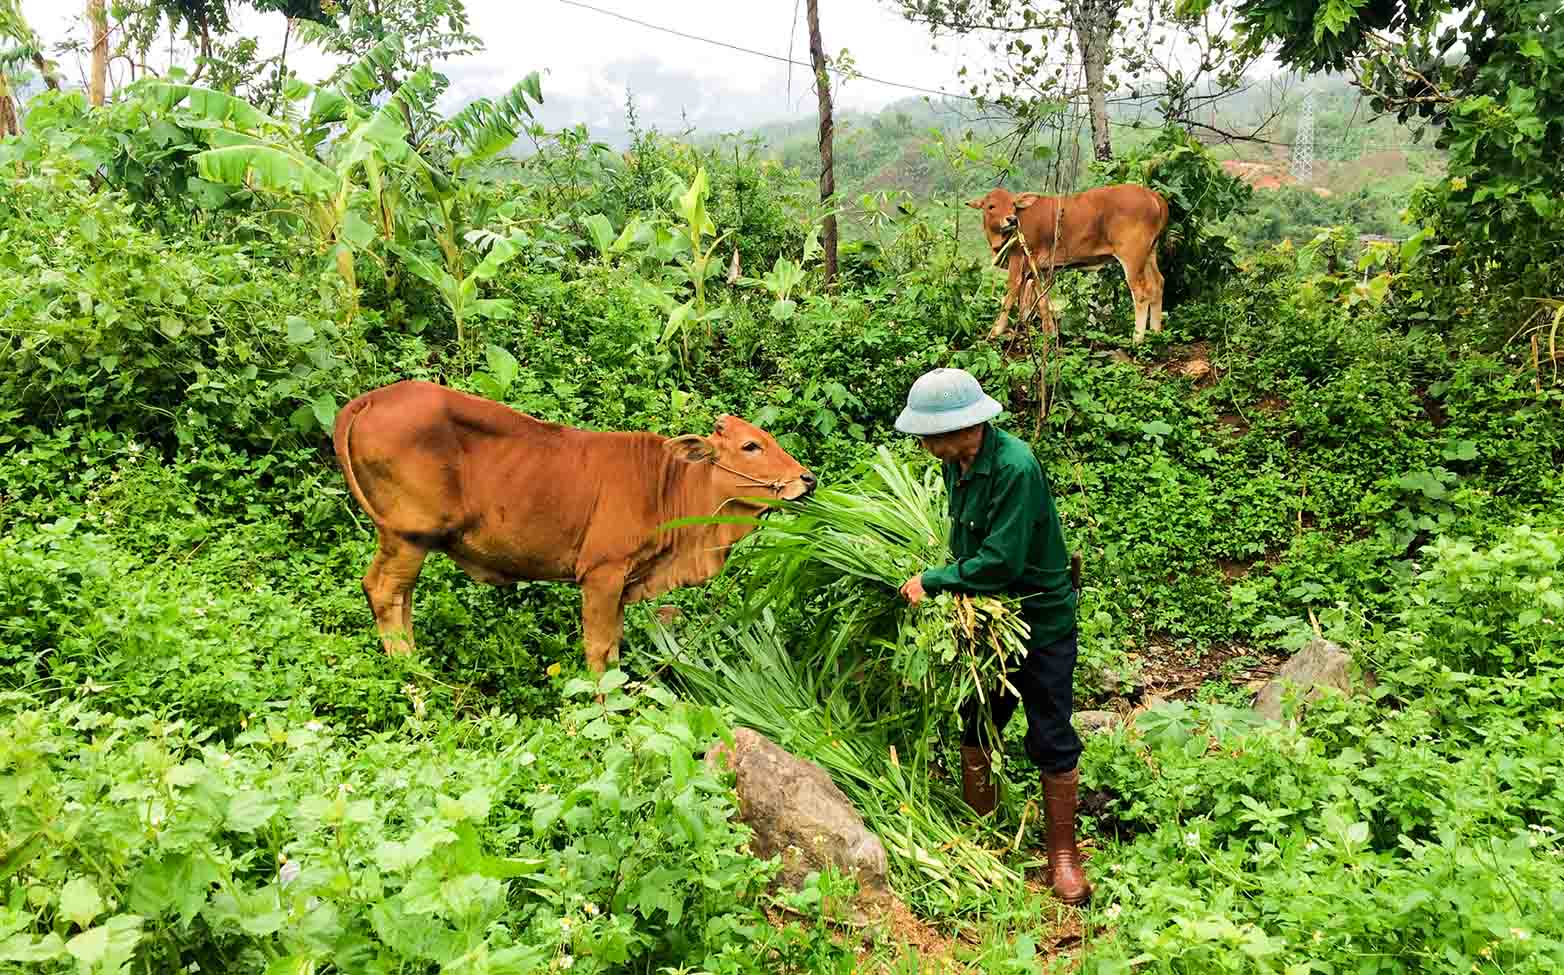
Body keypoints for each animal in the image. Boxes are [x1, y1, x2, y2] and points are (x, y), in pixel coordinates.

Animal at [333, 380, 819, 669]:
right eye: (751, 446)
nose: (807, 479)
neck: (669, 486)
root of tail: (371, 399)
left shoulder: (625, 582)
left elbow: (616, 645)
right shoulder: (602, 574)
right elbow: (599, 648)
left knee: (401, 599)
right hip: (407, 534)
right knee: (383, 592)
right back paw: (411, 676)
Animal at [963, 184, 1176, 345]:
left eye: (1013, 204)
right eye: (991, 206)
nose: (1012, 219)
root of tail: (1153, 195)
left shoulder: (1020, 259)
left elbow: (1011, 294)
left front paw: (995, 332)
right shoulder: (1037, 268)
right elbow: (1039, 300)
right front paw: (1047, 332)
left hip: (1132, 255)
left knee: (1141, 292)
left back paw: (1137, 339)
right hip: (1149, 253)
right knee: (1158, 284)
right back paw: (1156, 333)